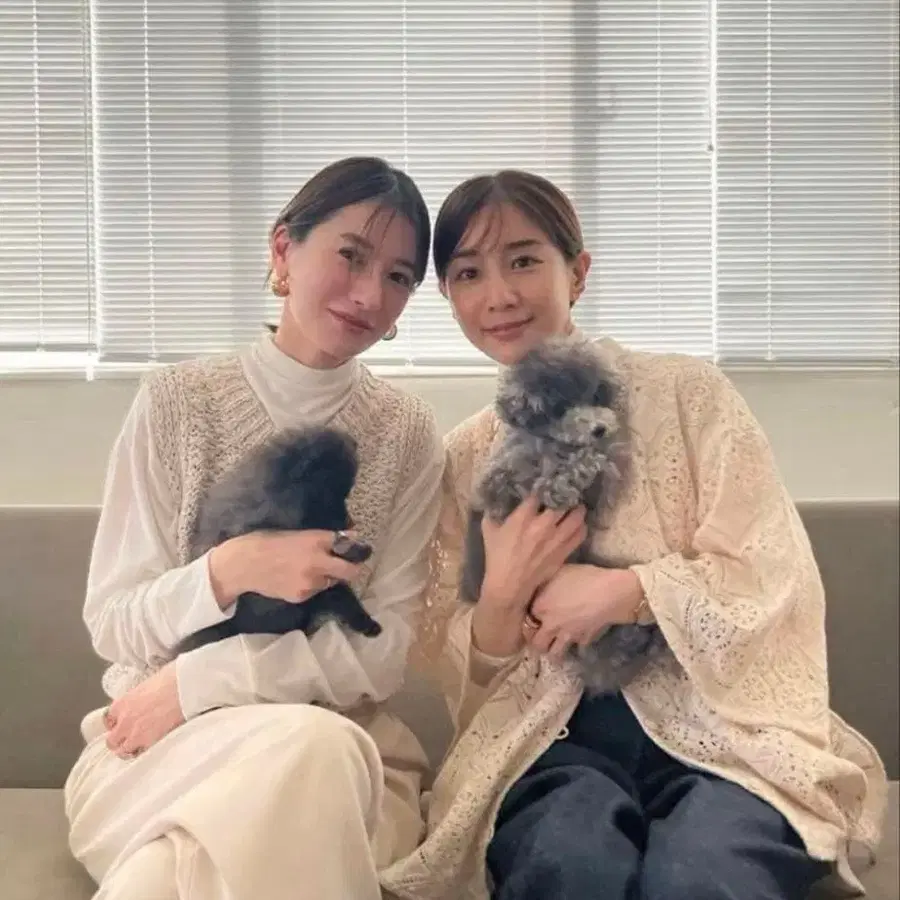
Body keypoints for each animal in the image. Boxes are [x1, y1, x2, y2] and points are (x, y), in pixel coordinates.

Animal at [459, 335, 667, 695]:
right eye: (559, 408)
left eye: (595, 396)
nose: (599, 429)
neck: (548, 442)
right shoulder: (502, 485)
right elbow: (546, 478)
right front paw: (574, 473)